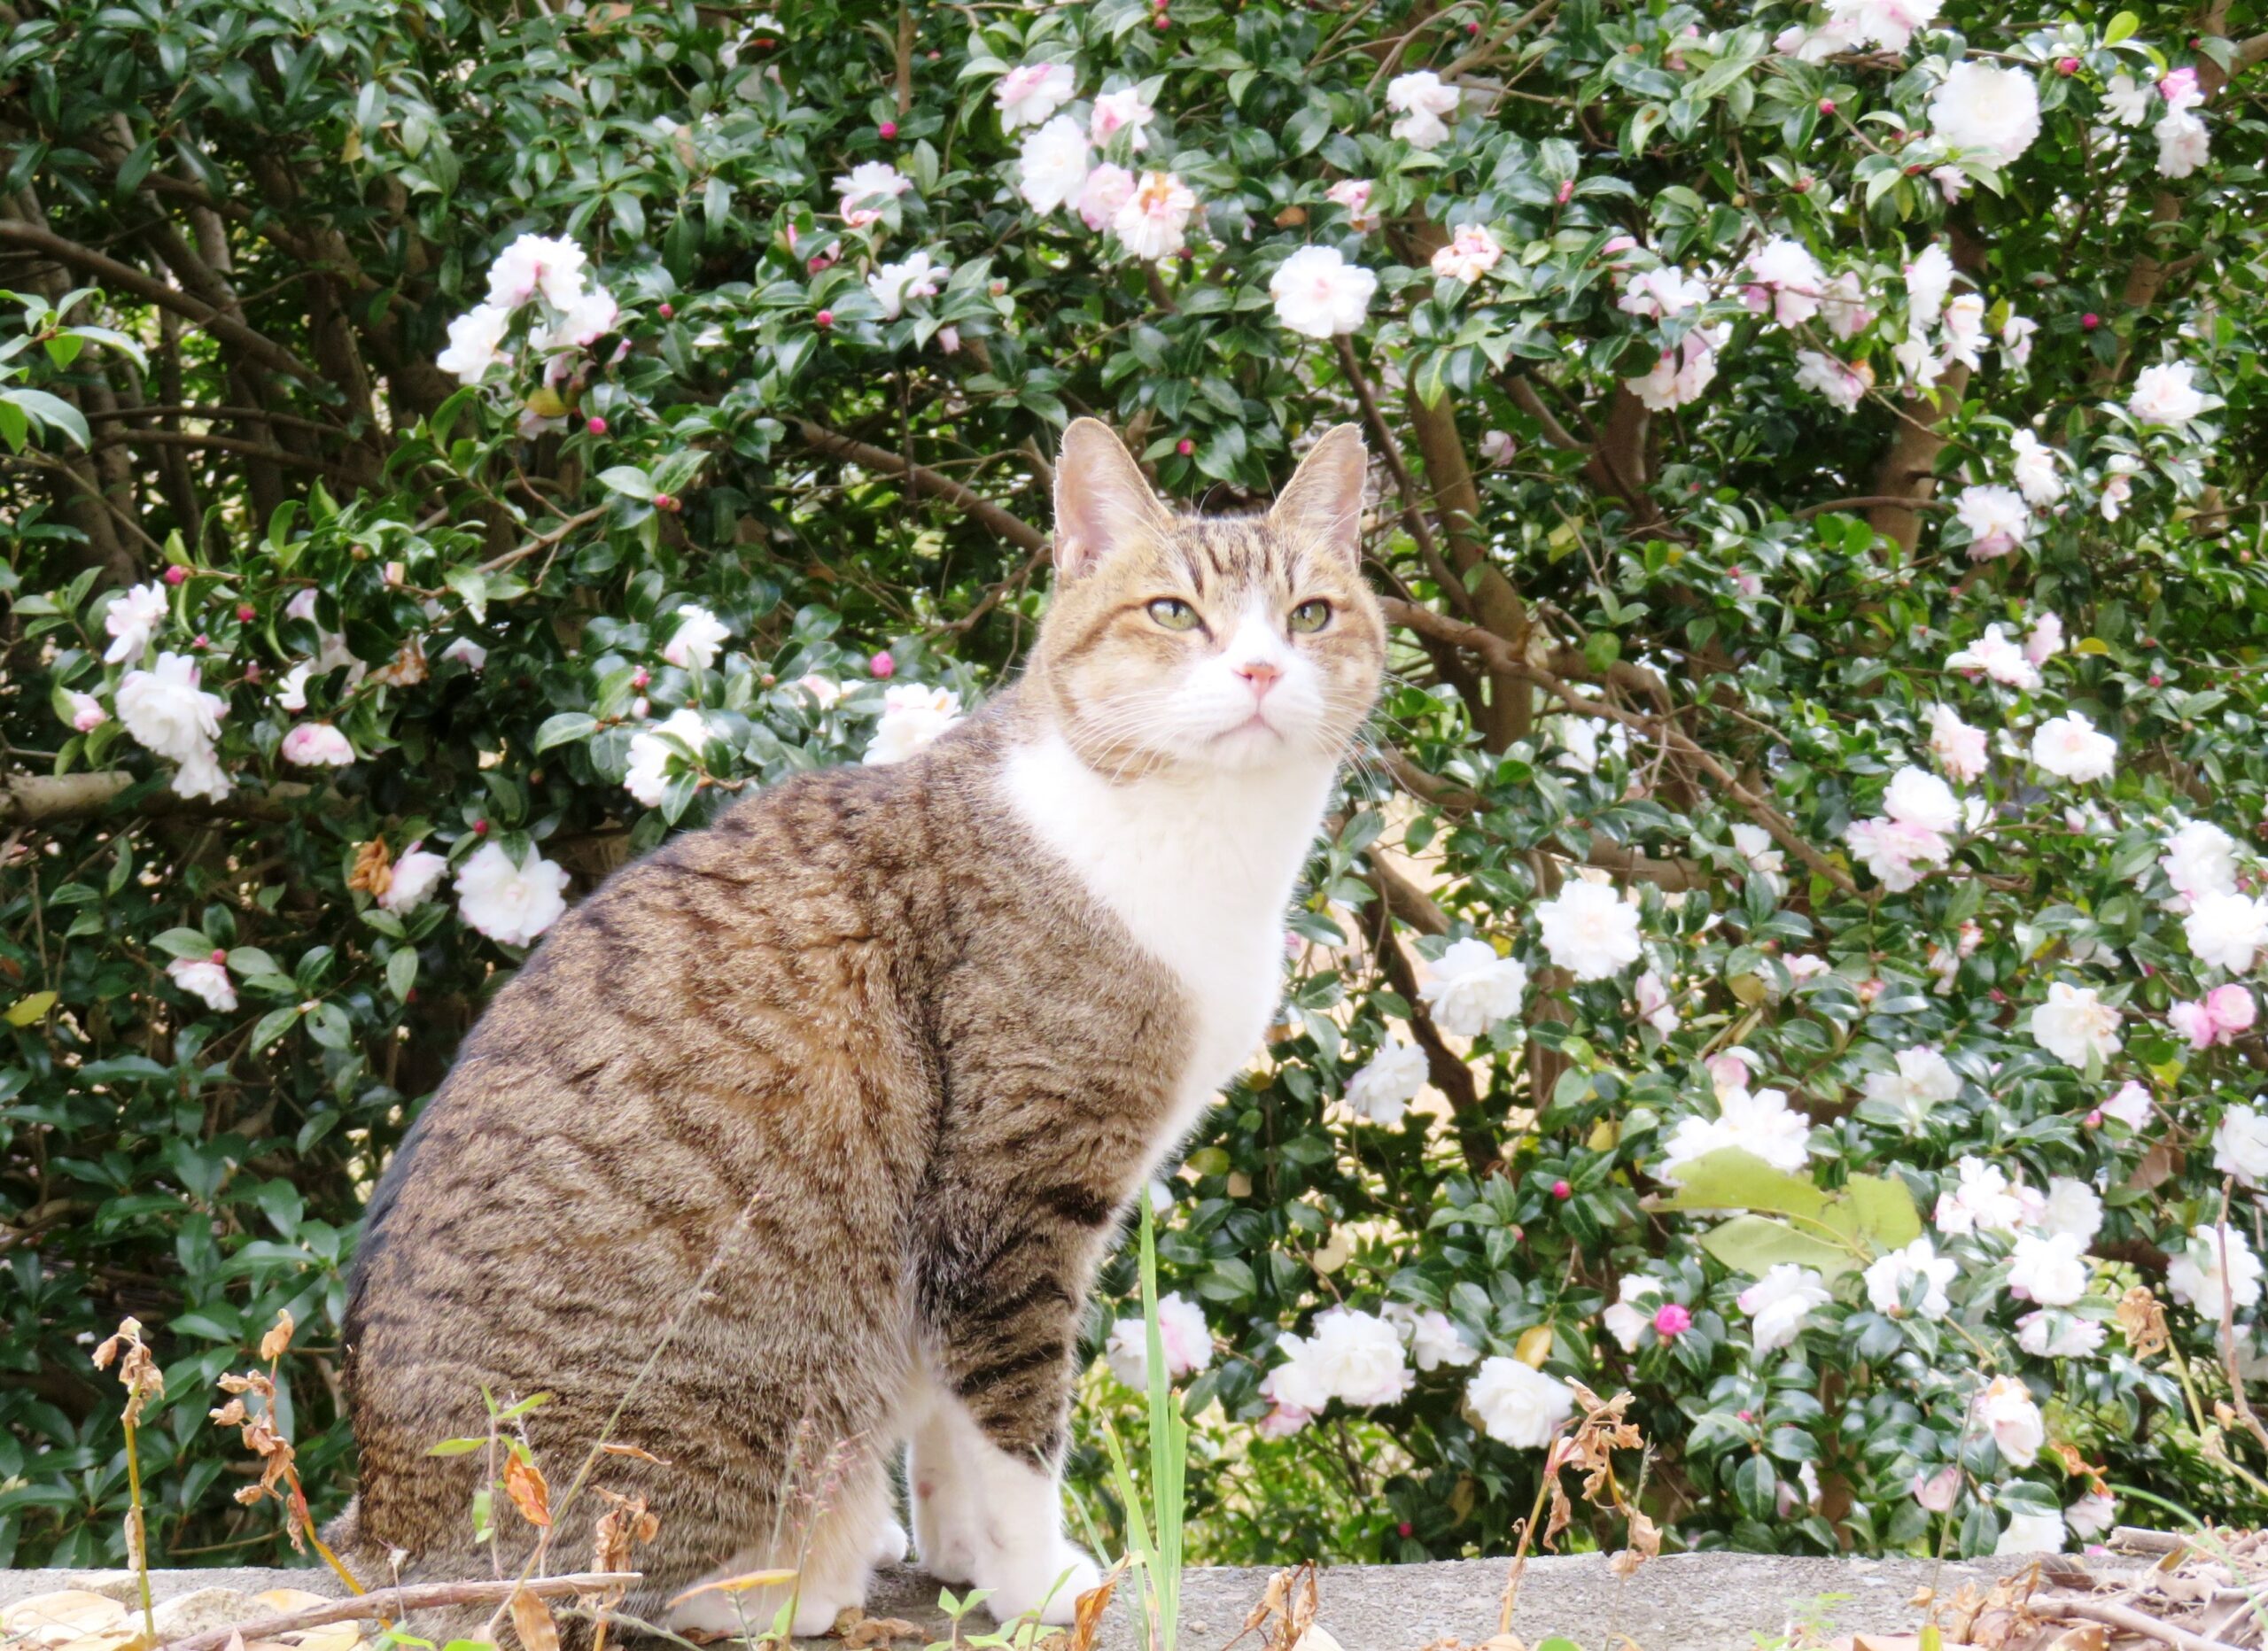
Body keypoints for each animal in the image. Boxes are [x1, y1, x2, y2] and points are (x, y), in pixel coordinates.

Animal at [333, 422, 1379, 1641]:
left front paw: (962, 1556)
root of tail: (390, 1536)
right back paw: (806, 1571)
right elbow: (1014, 1422)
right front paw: (1039, 1581)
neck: (1190, 833)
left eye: (1310, 613)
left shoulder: (955, 1241)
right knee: (612, 1586)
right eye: (1172, 611)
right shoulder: (1008, 1196)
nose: (1260, 670)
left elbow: (948, 1425)